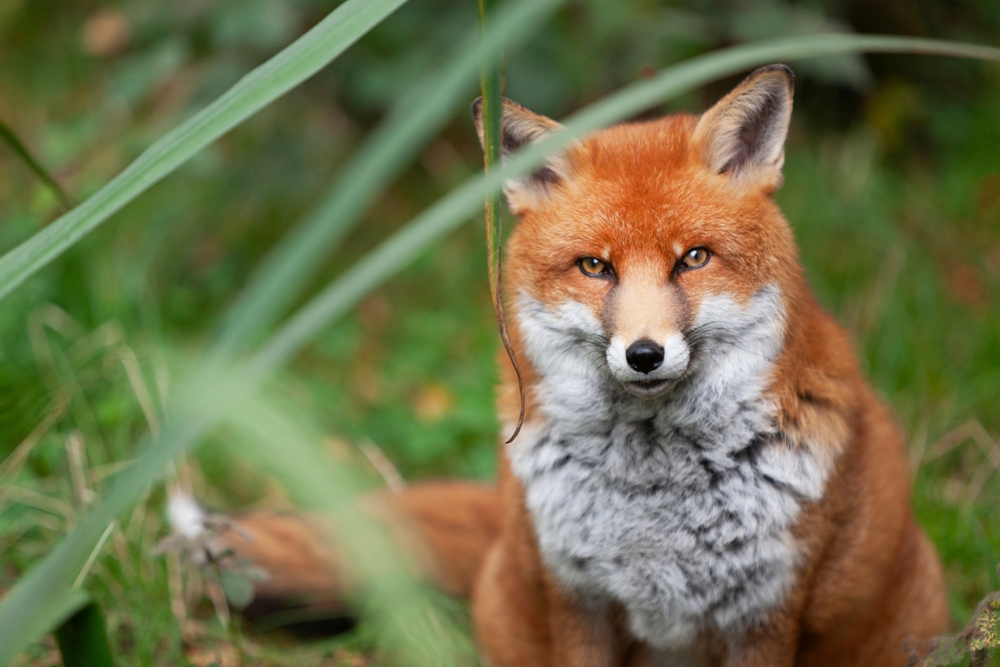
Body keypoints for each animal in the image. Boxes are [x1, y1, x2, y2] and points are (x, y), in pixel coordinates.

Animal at [217, 66, 944, 667]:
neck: (653, 502)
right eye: (595, 266)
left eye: (695, 258)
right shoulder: (576, 599)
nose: (645, 353)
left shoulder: (765, 615)